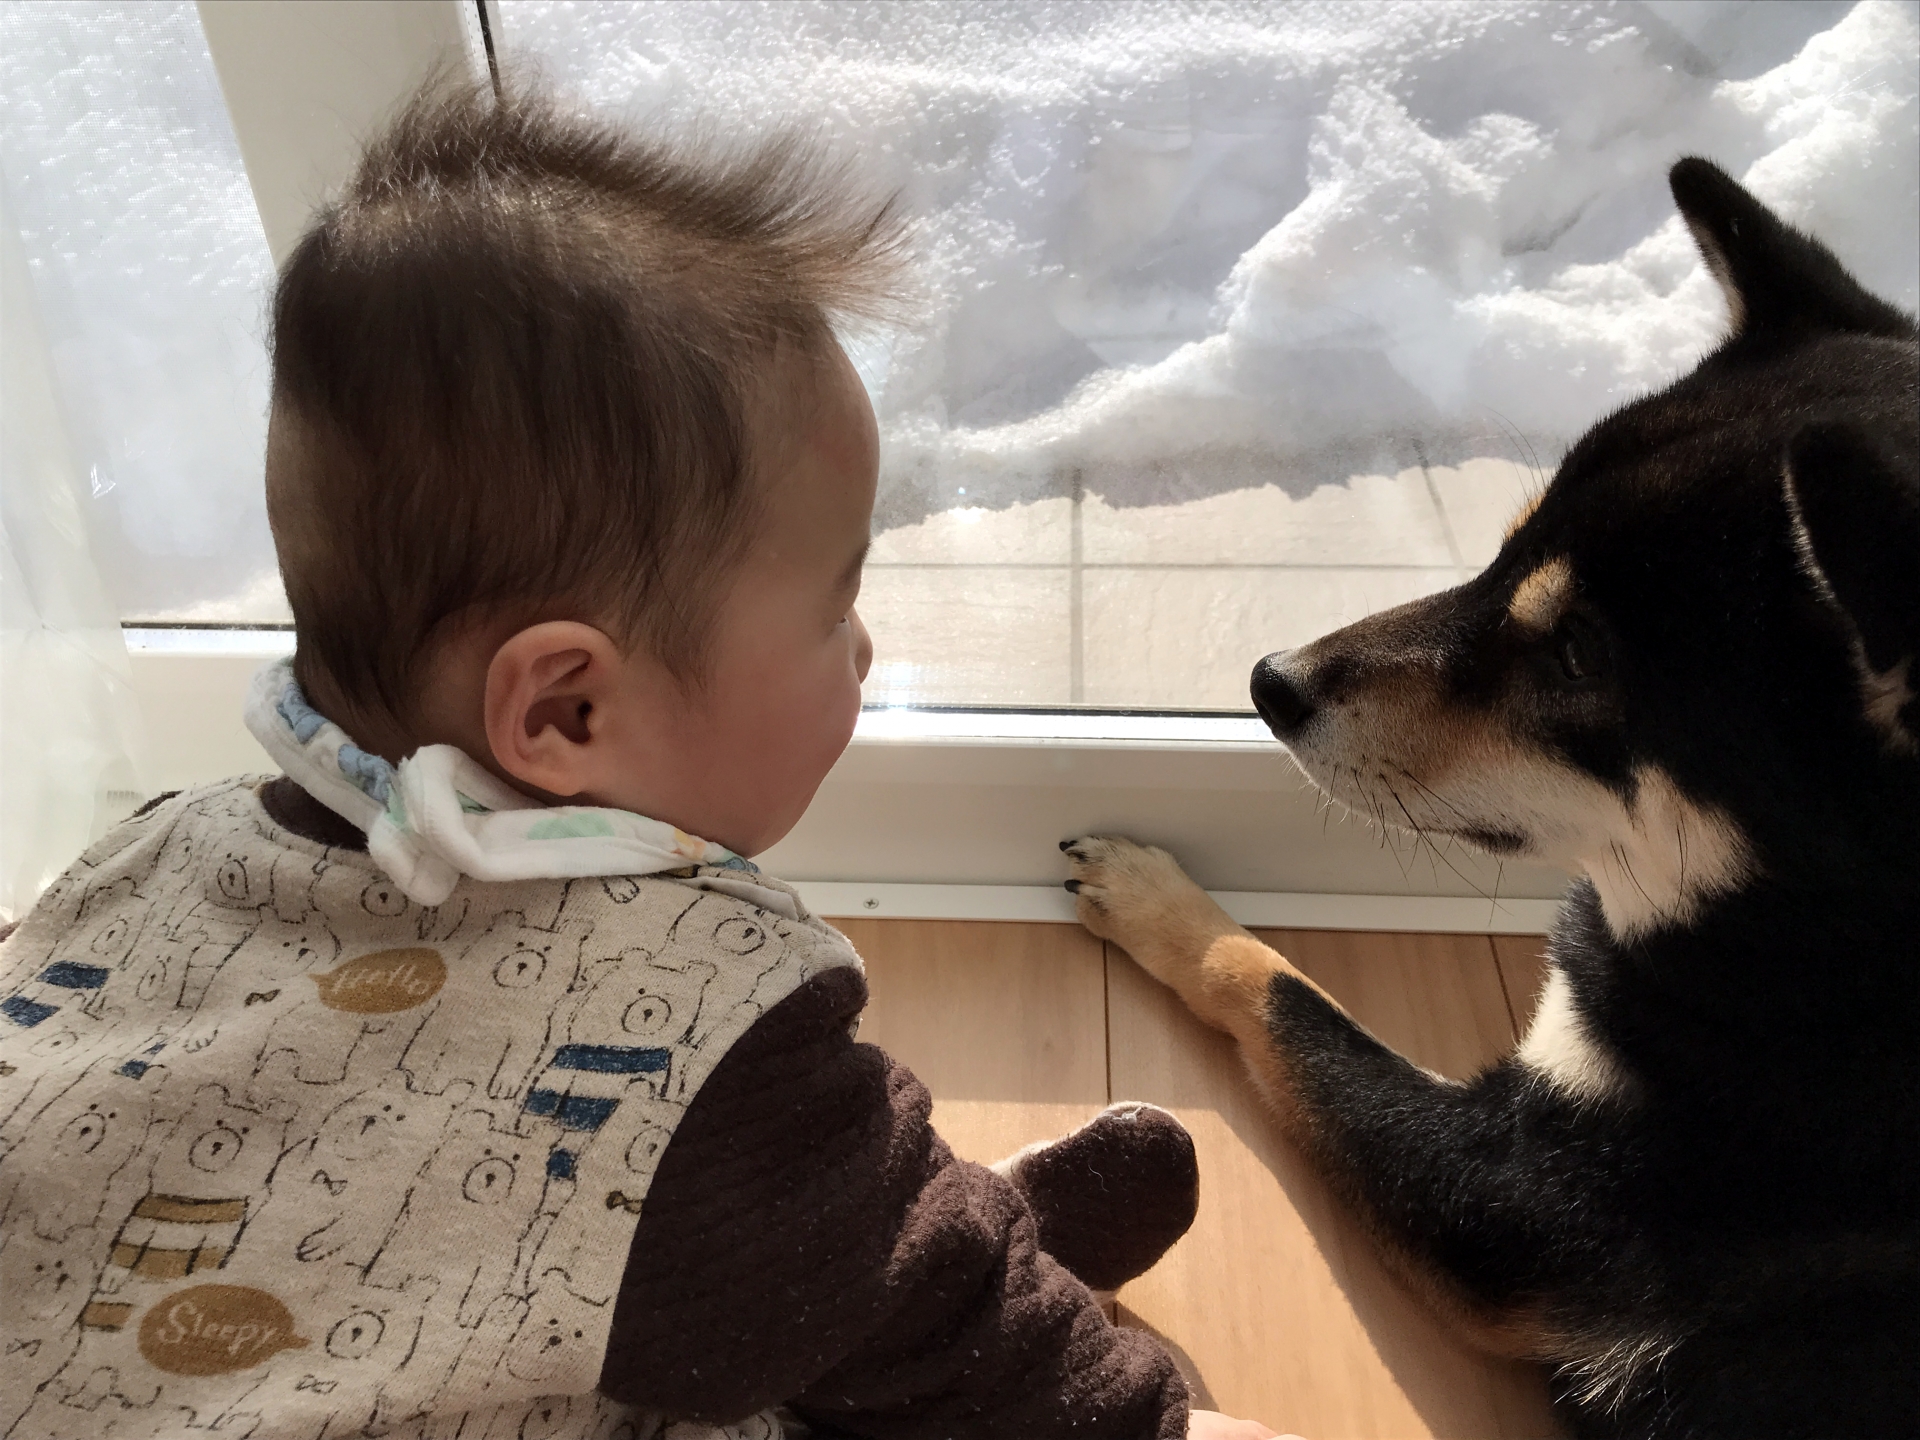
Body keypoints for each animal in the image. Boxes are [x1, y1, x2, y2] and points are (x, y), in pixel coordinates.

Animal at [1075, 160, 1912, 1440]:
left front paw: (1156, 898)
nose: (1271, 683)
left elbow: (1284, 995)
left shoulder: (1507, 1200)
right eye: (1503, 552)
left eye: (1574, 660)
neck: (1822, 961)